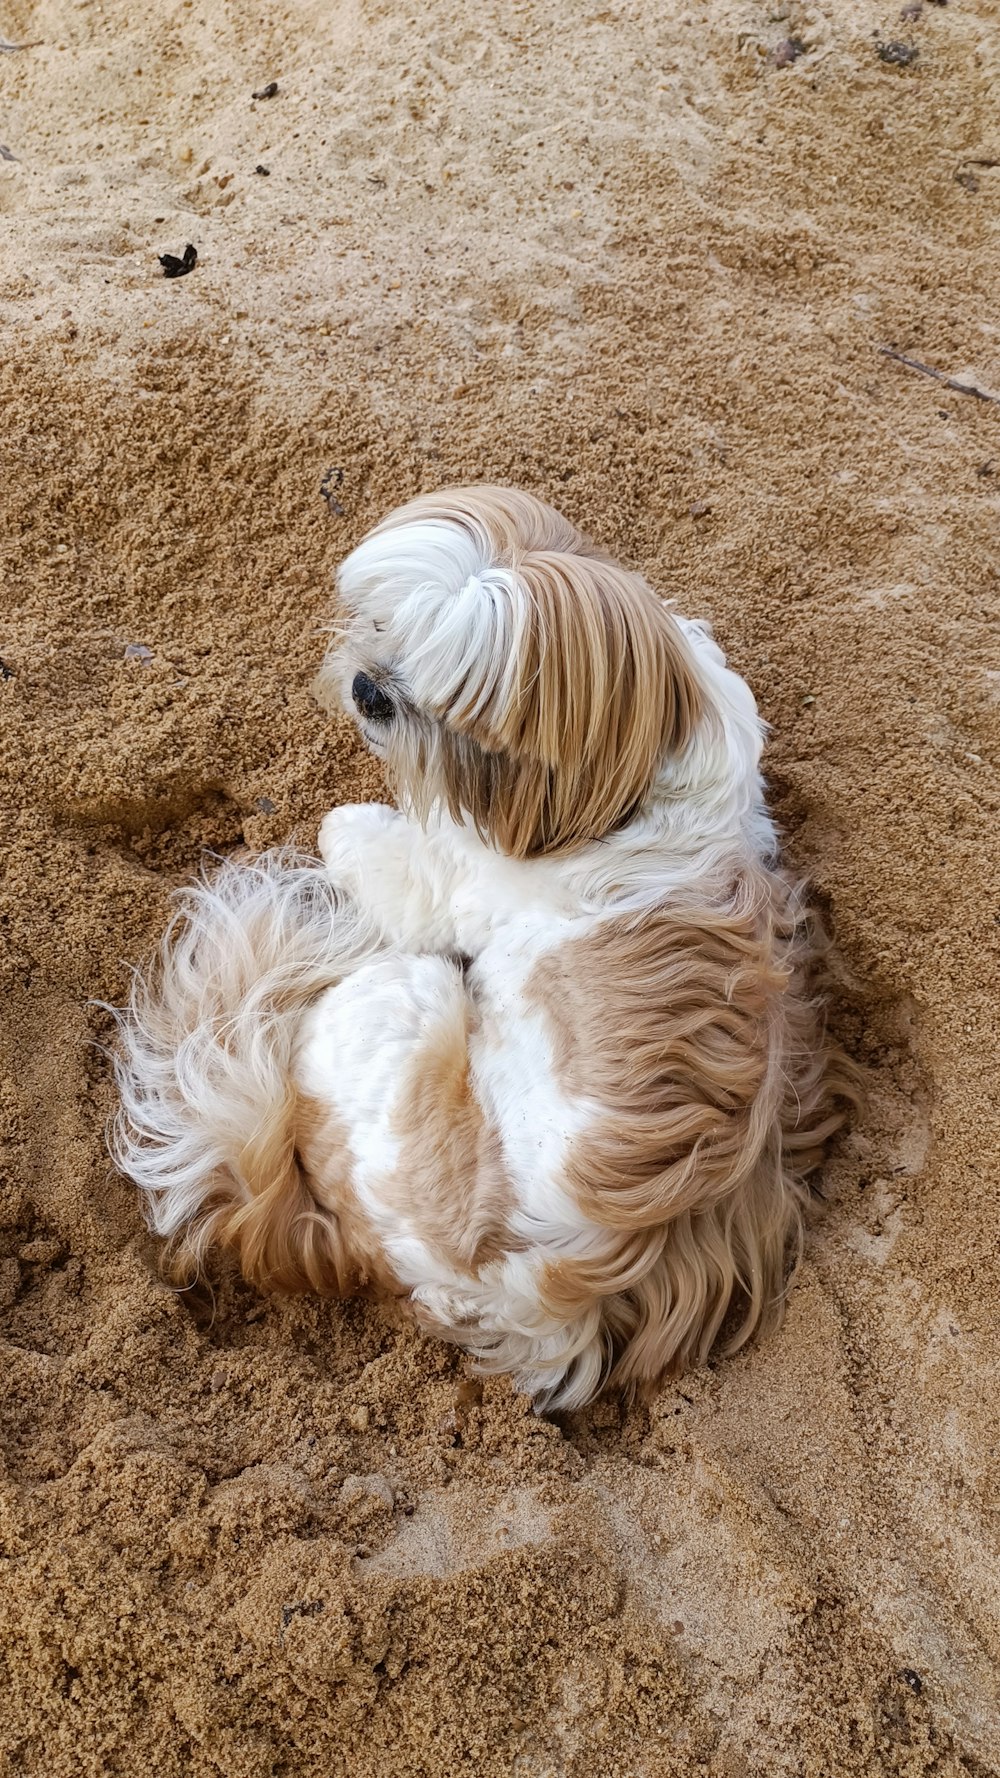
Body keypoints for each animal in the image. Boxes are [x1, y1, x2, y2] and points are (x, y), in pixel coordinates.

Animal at [110, 483, 857, 1401]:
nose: (370, 688)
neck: (639, 775)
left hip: (405, 1000)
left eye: (454, 711)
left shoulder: (450, 879)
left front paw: (347, 821)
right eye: (384, 624)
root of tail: (546, 1309)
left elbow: (366, 839)